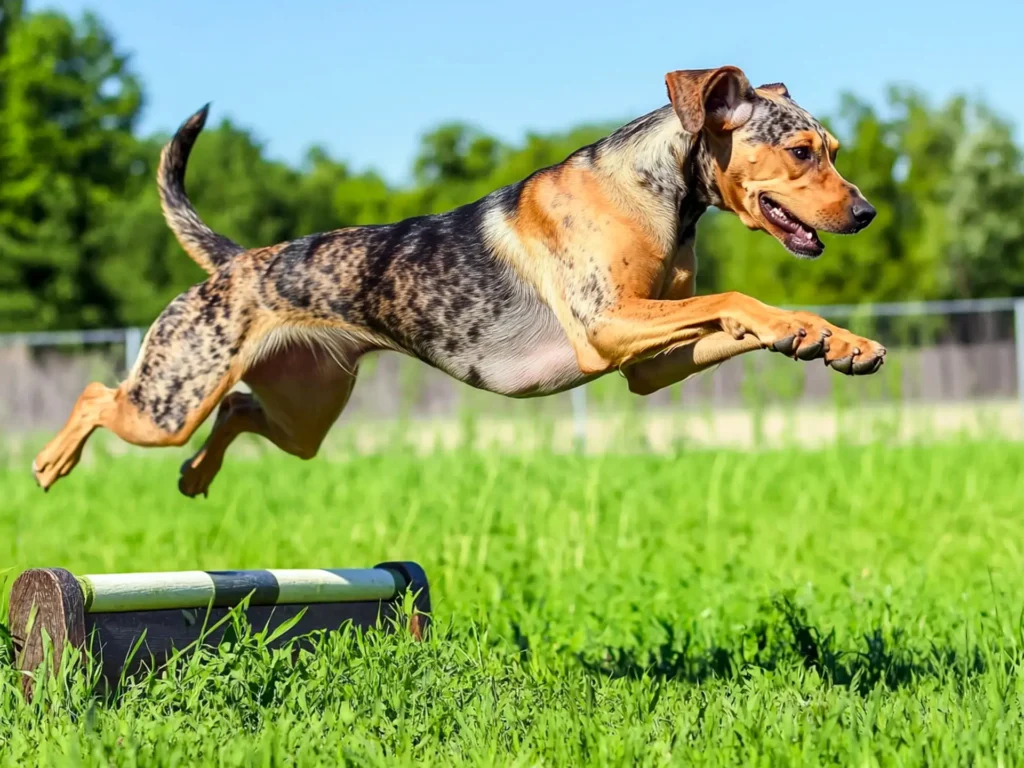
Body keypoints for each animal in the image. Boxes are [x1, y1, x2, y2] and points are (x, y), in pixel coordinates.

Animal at [29, 67, 880, 499]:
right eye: (802, 151)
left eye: (834, 149)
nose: (867, 212)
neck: (660, 193)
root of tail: (234, 261)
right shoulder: (606, 325)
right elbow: (732, 302)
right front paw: (798, 328)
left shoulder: (648, 361)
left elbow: (733, 316)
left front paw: (833, 339)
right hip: (171, 393)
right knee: (99, 394)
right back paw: (51, 463)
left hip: (304, 412)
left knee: (237, 410)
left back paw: (195, 476)